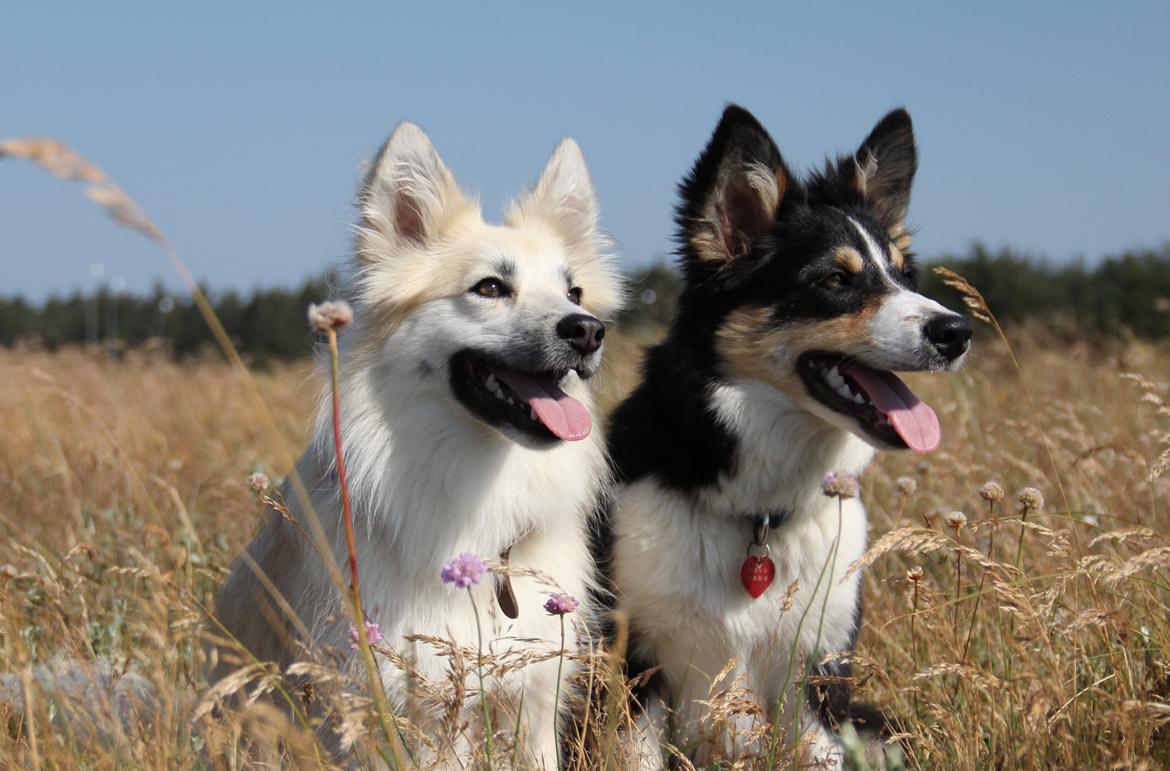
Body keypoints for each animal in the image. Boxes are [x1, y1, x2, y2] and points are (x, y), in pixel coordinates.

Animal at [599, 107, 973, 767]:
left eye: (905, 276)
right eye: (835, 280)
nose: (958, 332)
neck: (759, 514)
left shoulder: (818, 674)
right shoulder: (636, 665)